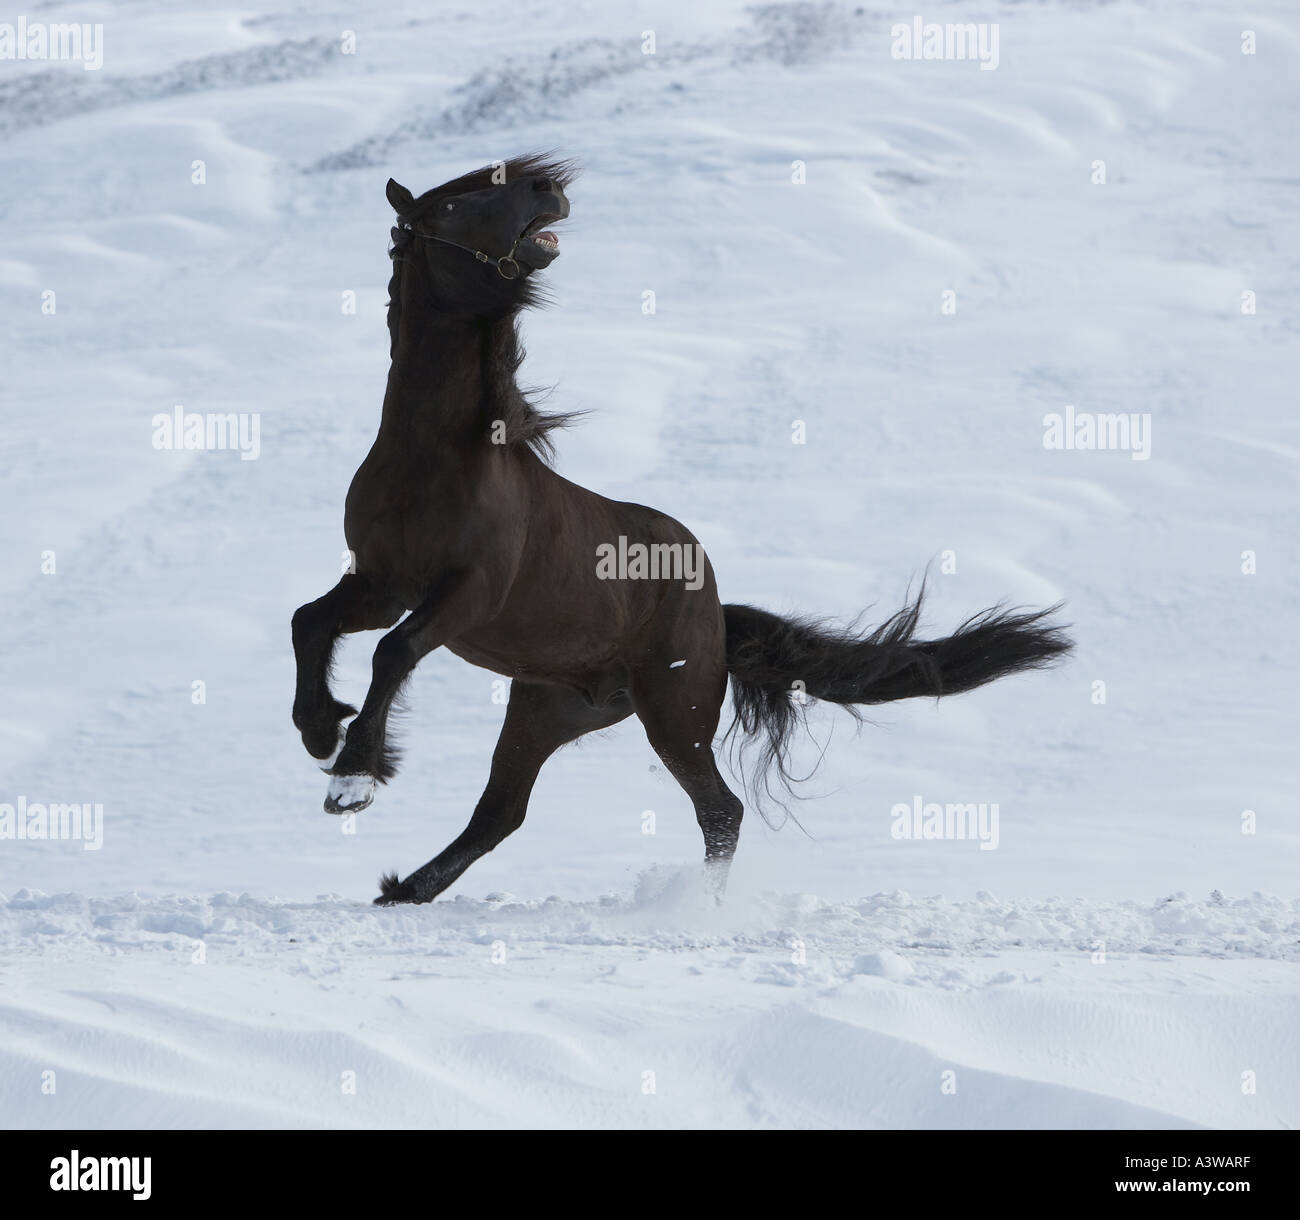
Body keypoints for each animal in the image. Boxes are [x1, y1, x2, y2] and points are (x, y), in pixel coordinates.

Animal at [289, 154, 1071, 905]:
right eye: (452, 203)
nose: (547, 188)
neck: (437, 459)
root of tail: (718, 612)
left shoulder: (468, 594)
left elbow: (393, 650)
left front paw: (351, 777)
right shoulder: (383, 581)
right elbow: (312, 622)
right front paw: (322, 731)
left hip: (671, 709)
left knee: (717, 809)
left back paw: (696, 910)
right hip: (549, 706)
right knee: (502, 812)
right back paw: (403, 891)